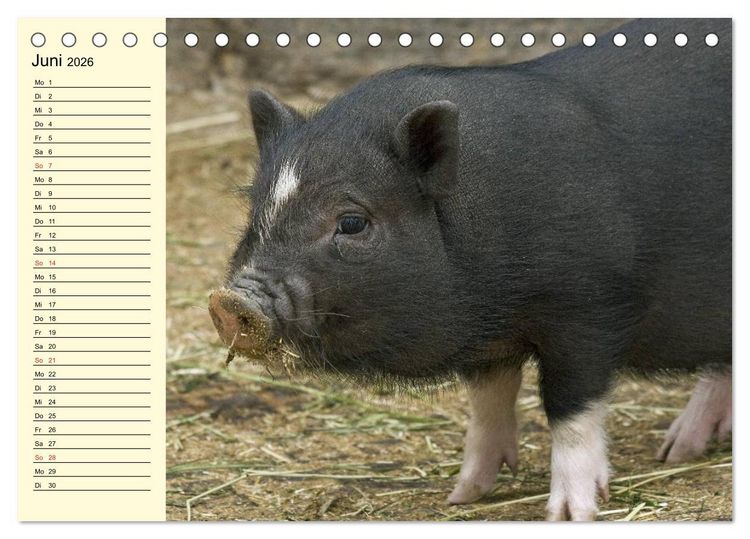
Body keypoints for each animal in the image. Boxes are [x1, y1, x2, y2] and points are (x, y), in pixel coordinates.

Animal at [209, 18, 731, 520]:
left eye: (352, 221)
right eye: (256, 210)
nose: (231, 300)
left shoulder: (591, 309)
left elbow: (570, 410)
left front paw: (570, 514)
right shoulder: (489, 339)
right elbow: (487, 401)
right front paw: (462, 497)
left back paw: (672, 452)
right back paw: (679, 450)